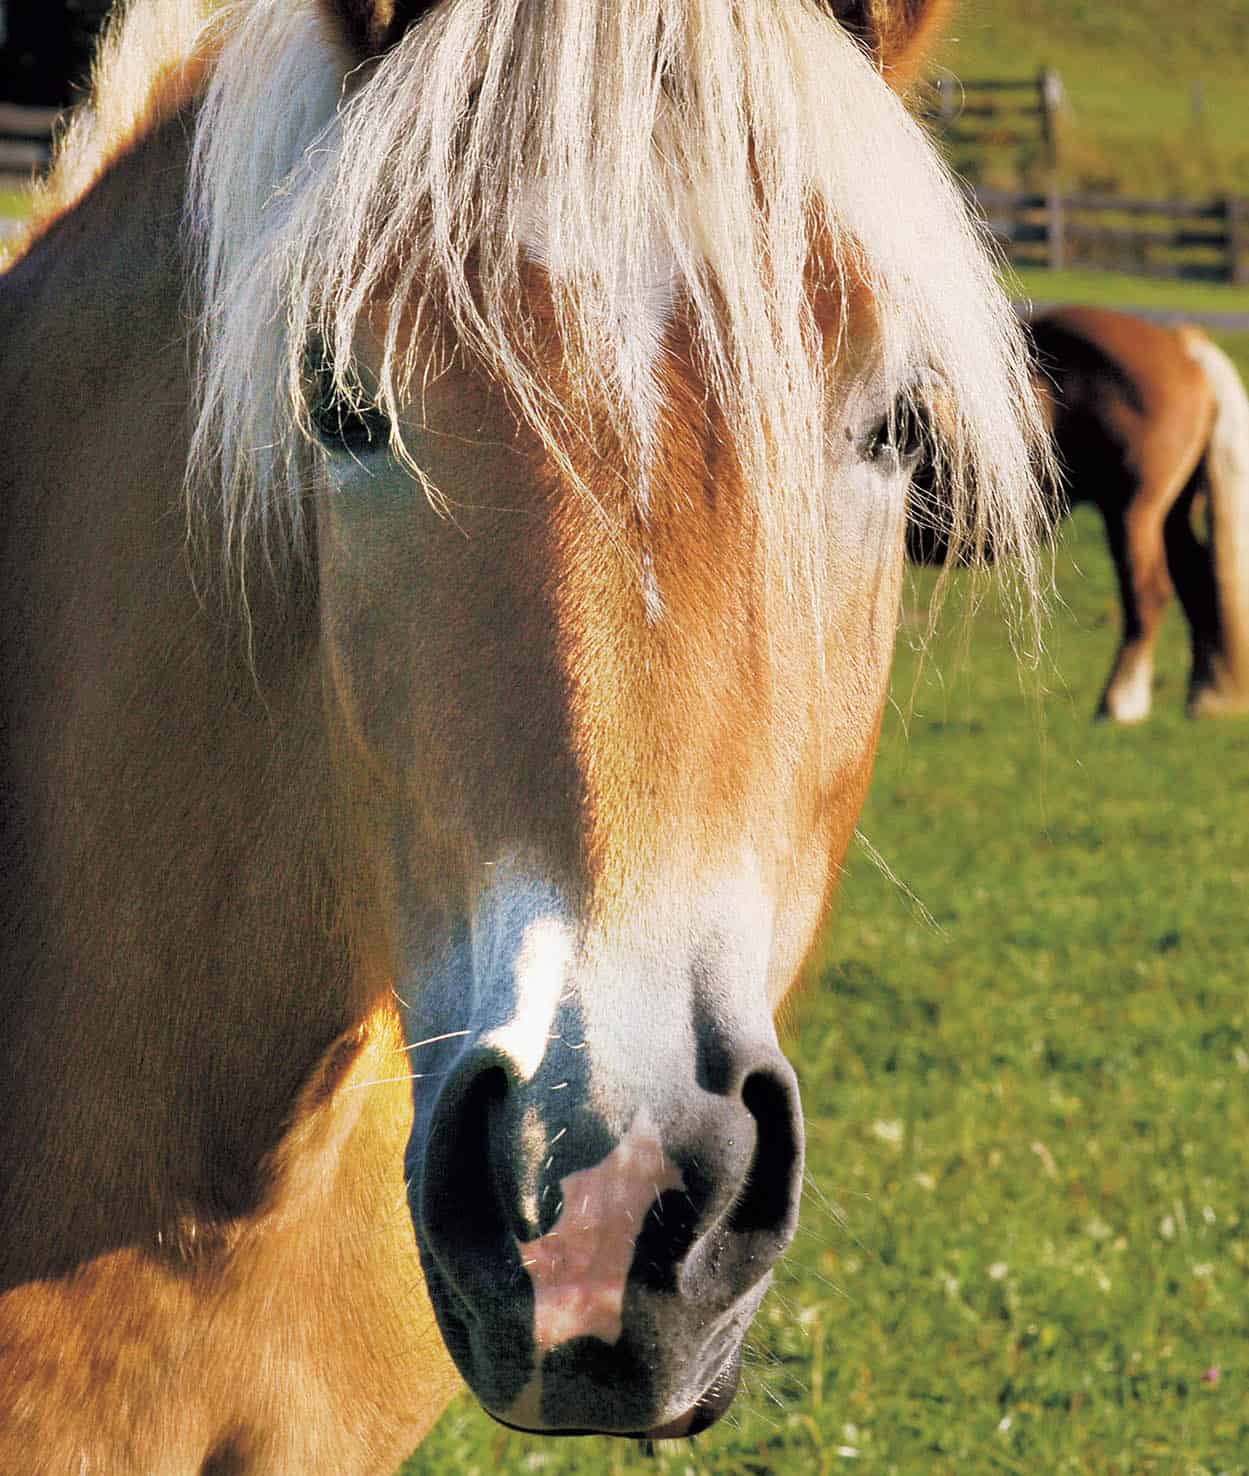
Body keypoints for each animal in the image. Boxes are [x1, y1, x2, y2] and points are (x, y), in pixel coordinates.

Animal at [1027, 308, 1249, 723]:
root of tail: (1180, 343)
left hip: (1133, 512)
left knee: (1147, 596)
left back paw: (1121, 702)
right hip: (1171, 515)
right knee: (1196, 583)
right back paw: (1203, 694)